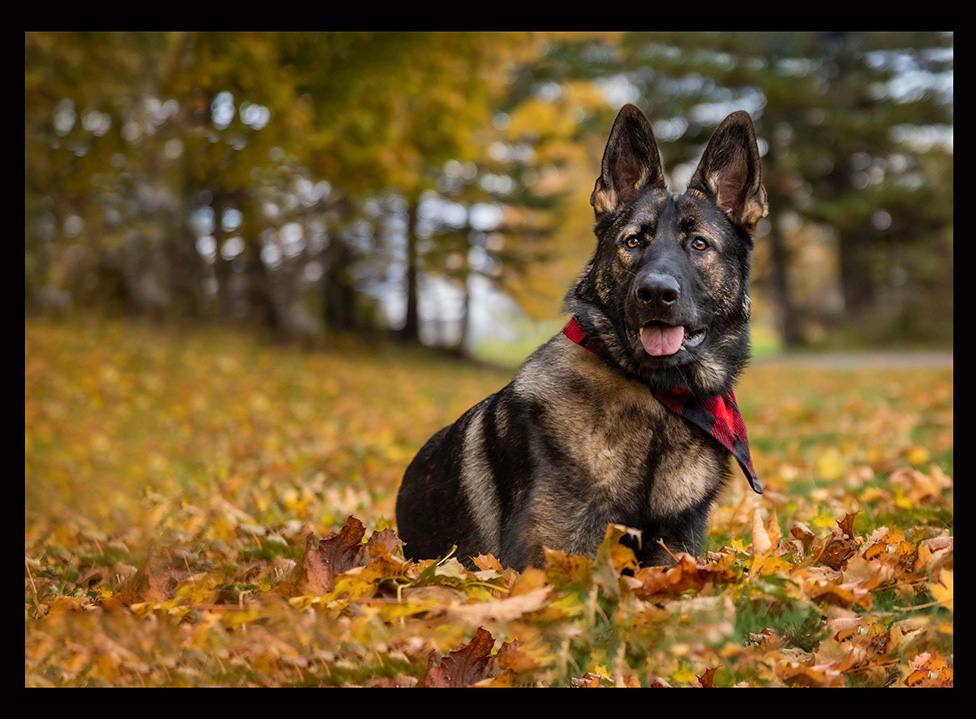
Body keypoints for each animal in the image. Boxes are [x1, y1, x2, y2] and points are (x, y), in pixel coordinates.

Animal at [392, 104, 768, 572]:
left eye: (699, 244)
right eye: (633, 241)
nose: (655, 293)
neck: (659, 396)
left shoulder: (674, 549)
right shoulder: (549, 556)